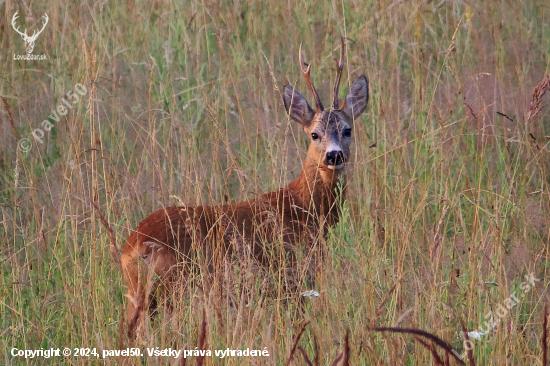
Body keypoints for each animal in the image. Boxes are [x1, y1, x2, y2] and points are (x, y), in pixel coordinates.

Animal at [112, 39, 370, 338]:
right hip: (171, 288)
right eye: (314, 134)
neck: (305, 208)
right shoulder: (292, 276)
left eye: (348, 130)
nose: (334, 155)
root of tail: (131, 247)